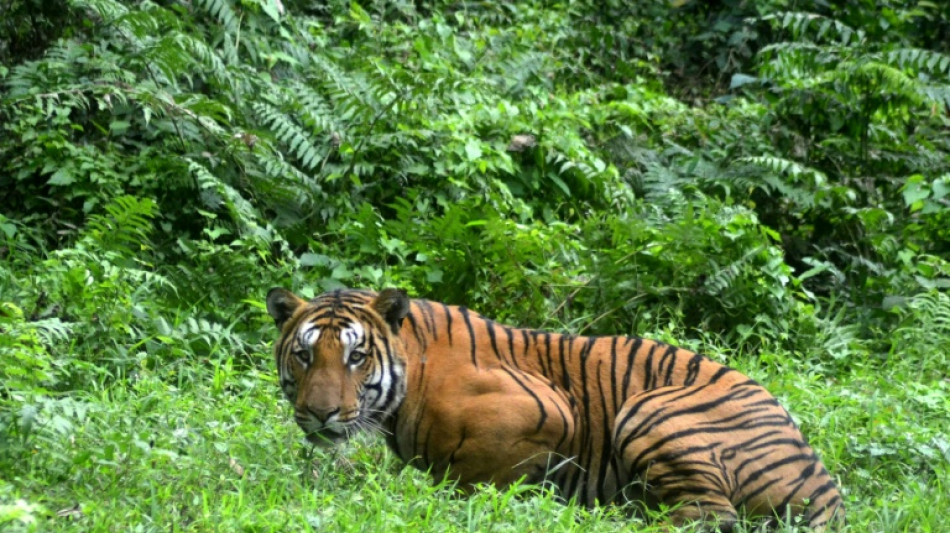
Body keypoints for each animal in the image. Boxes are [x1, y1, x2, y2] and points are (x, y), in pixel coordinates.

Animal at [266, 287, 845, 531]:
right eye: (304, 354)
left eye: (356, 356)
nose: (320, 413)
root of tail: (824, 484)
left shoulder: (548, 410)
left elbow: (476, 477)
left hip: (649, 409)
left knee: (710, 518)